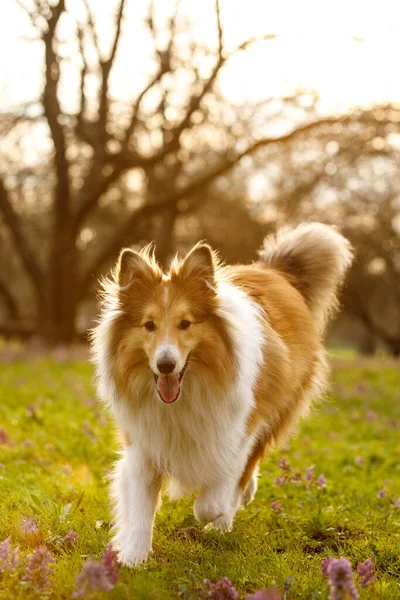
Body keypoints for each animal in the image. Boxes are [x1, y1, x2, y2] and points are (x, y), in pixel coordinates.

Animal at [91, 223, 354, 564]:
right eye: (149, 325)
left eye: (185, 323)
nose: (165, 365)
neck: (186, 394)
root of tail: (274, 270)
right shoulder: (144, 443)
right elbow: (139, 505)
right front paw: (132, 558)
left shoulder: (240, 428)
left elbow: (214, 496)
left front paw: (216, 514)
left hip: (277, 409)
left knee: (246, 470)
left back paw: (230, 513)